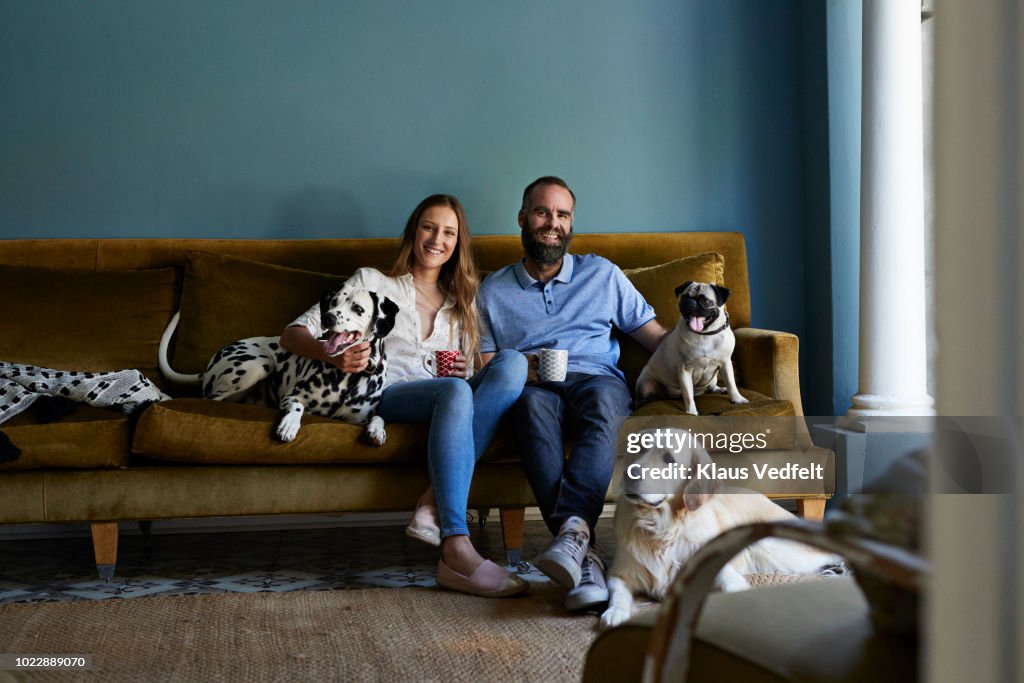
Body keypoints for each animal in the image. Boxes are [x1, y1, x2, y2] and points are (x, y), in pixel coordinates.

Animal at [159, 282, 399, 446]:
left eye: (358, 308)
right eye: (333, 303)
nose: (328, 318)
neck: (349, 377)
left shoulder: (355, 419)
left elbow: (378, 416)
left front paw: (377, 431)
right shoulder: (292, 397)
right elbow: (297, 406)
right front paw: (289, 424)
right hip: (258, 365)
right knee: (209, 399)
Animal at [598, 432, 839, 630]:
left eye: (669, 459)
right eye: (637, 449)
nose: (630, 474)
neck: (663, 529)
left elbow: (729, 584)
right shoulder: (620, 572)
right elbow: (617, 592)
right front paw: (615, 612)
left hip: (772, 548)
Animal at [634, 280, 749, 413]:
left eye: (705, 301)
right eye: (684, 298)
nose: (691, 303)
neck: (704, 334)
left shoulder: (725, 363)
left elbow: (731, 383)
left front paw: (737, 398)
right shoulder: (685, 370)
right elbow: (688, 395)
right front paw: (691, 412)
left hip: (713, 378)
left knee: (711, 386)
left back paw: (719, 389)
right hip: (645, 383)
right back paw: (640, 402)